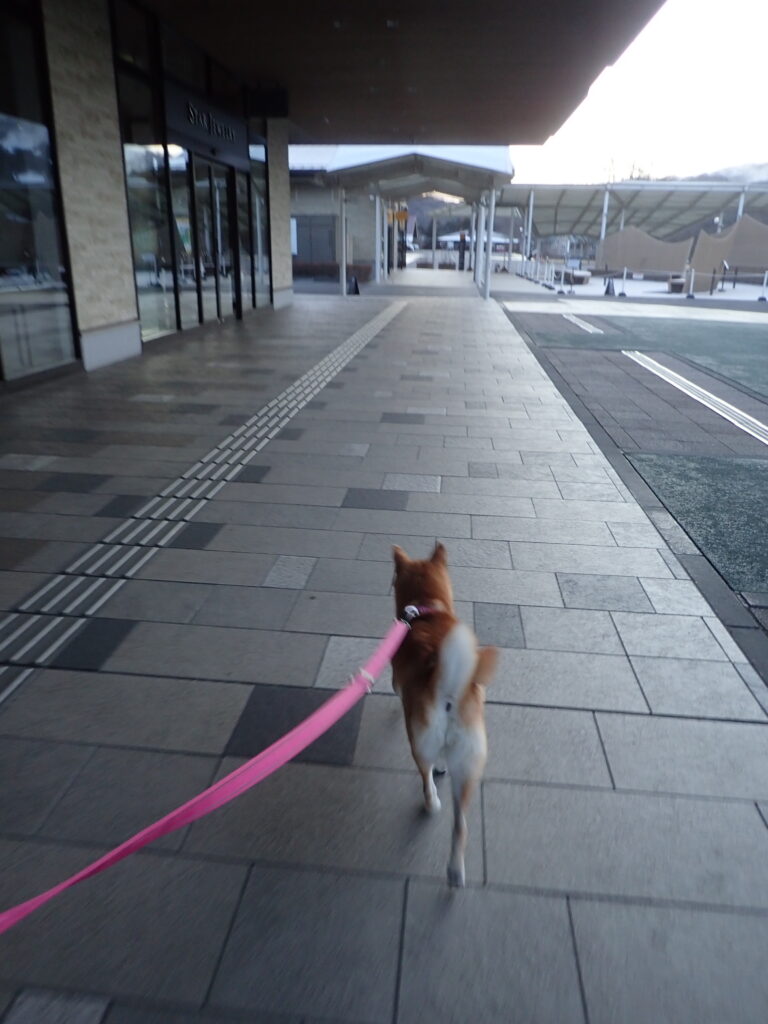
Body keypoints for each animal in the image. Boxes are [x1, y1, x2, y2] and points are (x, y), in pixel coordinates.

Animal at [391, 542, 497, 887]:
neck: (428, 609)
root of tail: (448, 686)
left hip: (419, 742)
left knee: (426, 780)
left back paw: (431, 803)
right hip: (470, 761)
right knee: (460, 825)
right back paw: (454, 872)